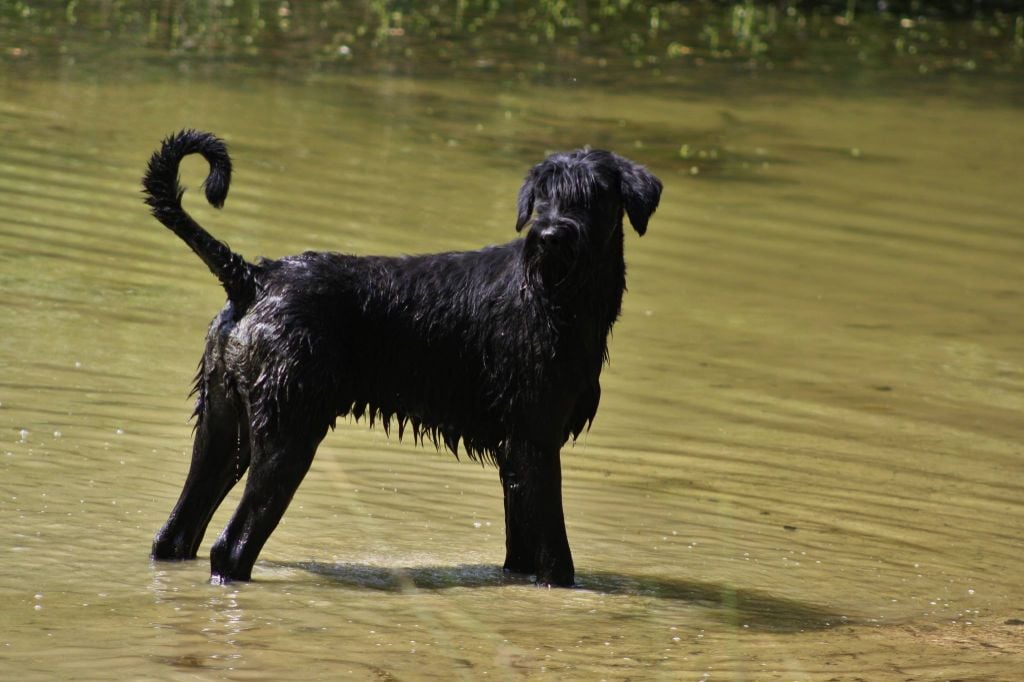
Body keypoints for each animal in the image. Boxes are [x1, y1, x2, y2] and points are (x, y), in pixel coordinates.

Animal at [140, 129, 659, 585]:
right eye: (543, 196)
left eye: (591, 196)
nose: (549, 235)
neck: (558, 298)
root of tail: (253, 278)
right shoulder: (537, 441)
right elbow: (556, 556)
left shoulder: (516, 455)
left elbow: (522, 549)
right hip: (288, 437)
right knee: (231, 548)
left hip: (225, 429)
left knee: (175, 534)